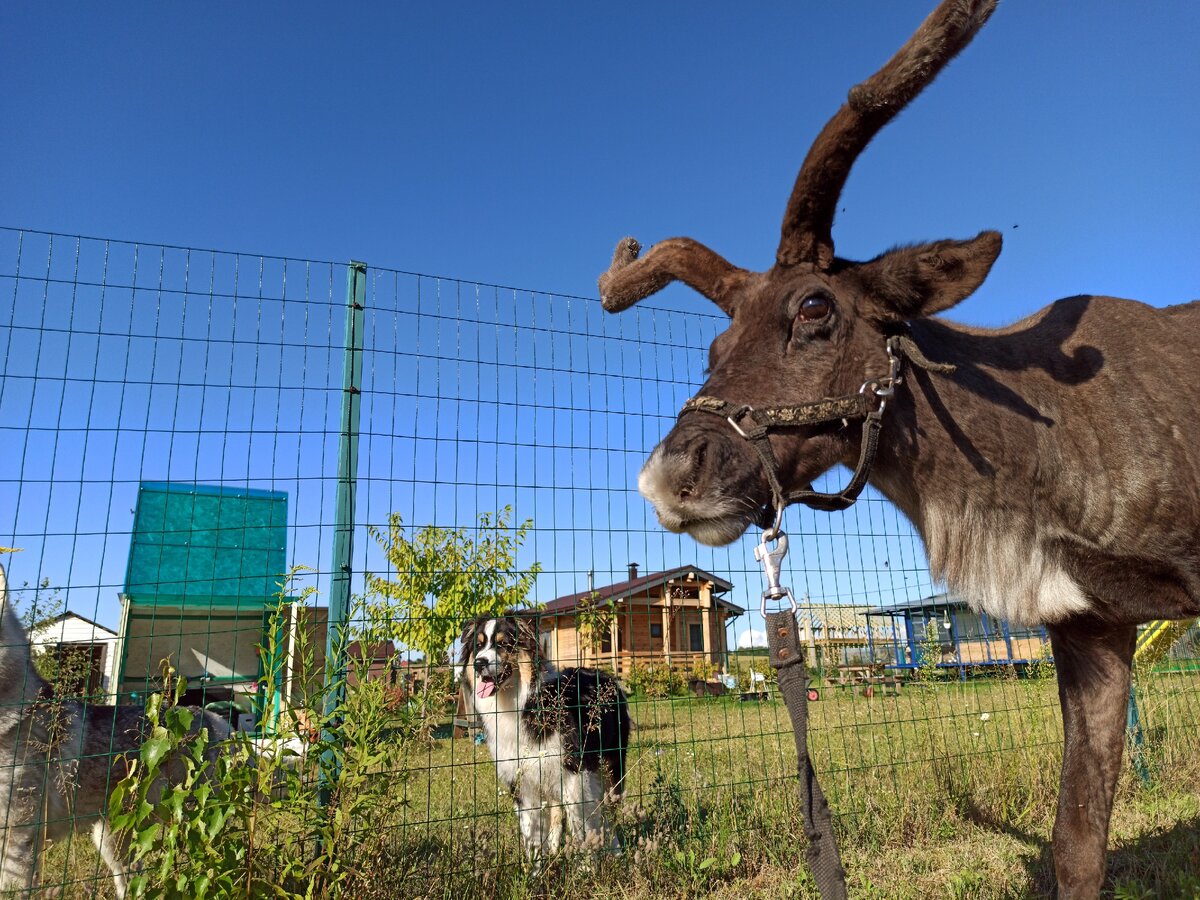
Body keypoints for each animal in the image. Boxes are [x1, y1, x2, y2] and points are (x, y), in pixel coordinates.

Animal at [456, 619, 633, 864]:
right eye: (479, 646)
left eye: (503, 644)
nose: (479, 664)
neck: (521, 704)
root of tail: (603, 675)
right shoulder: (524, 781)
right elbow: (532, 835)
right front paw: (536, 870)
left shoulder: (574, 774)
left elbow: (581, 827)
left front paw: (586, 866)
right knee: (561, 812)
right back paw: (555, 849)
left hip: (611, 766)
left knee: (608, 809)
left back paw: (615, 850)